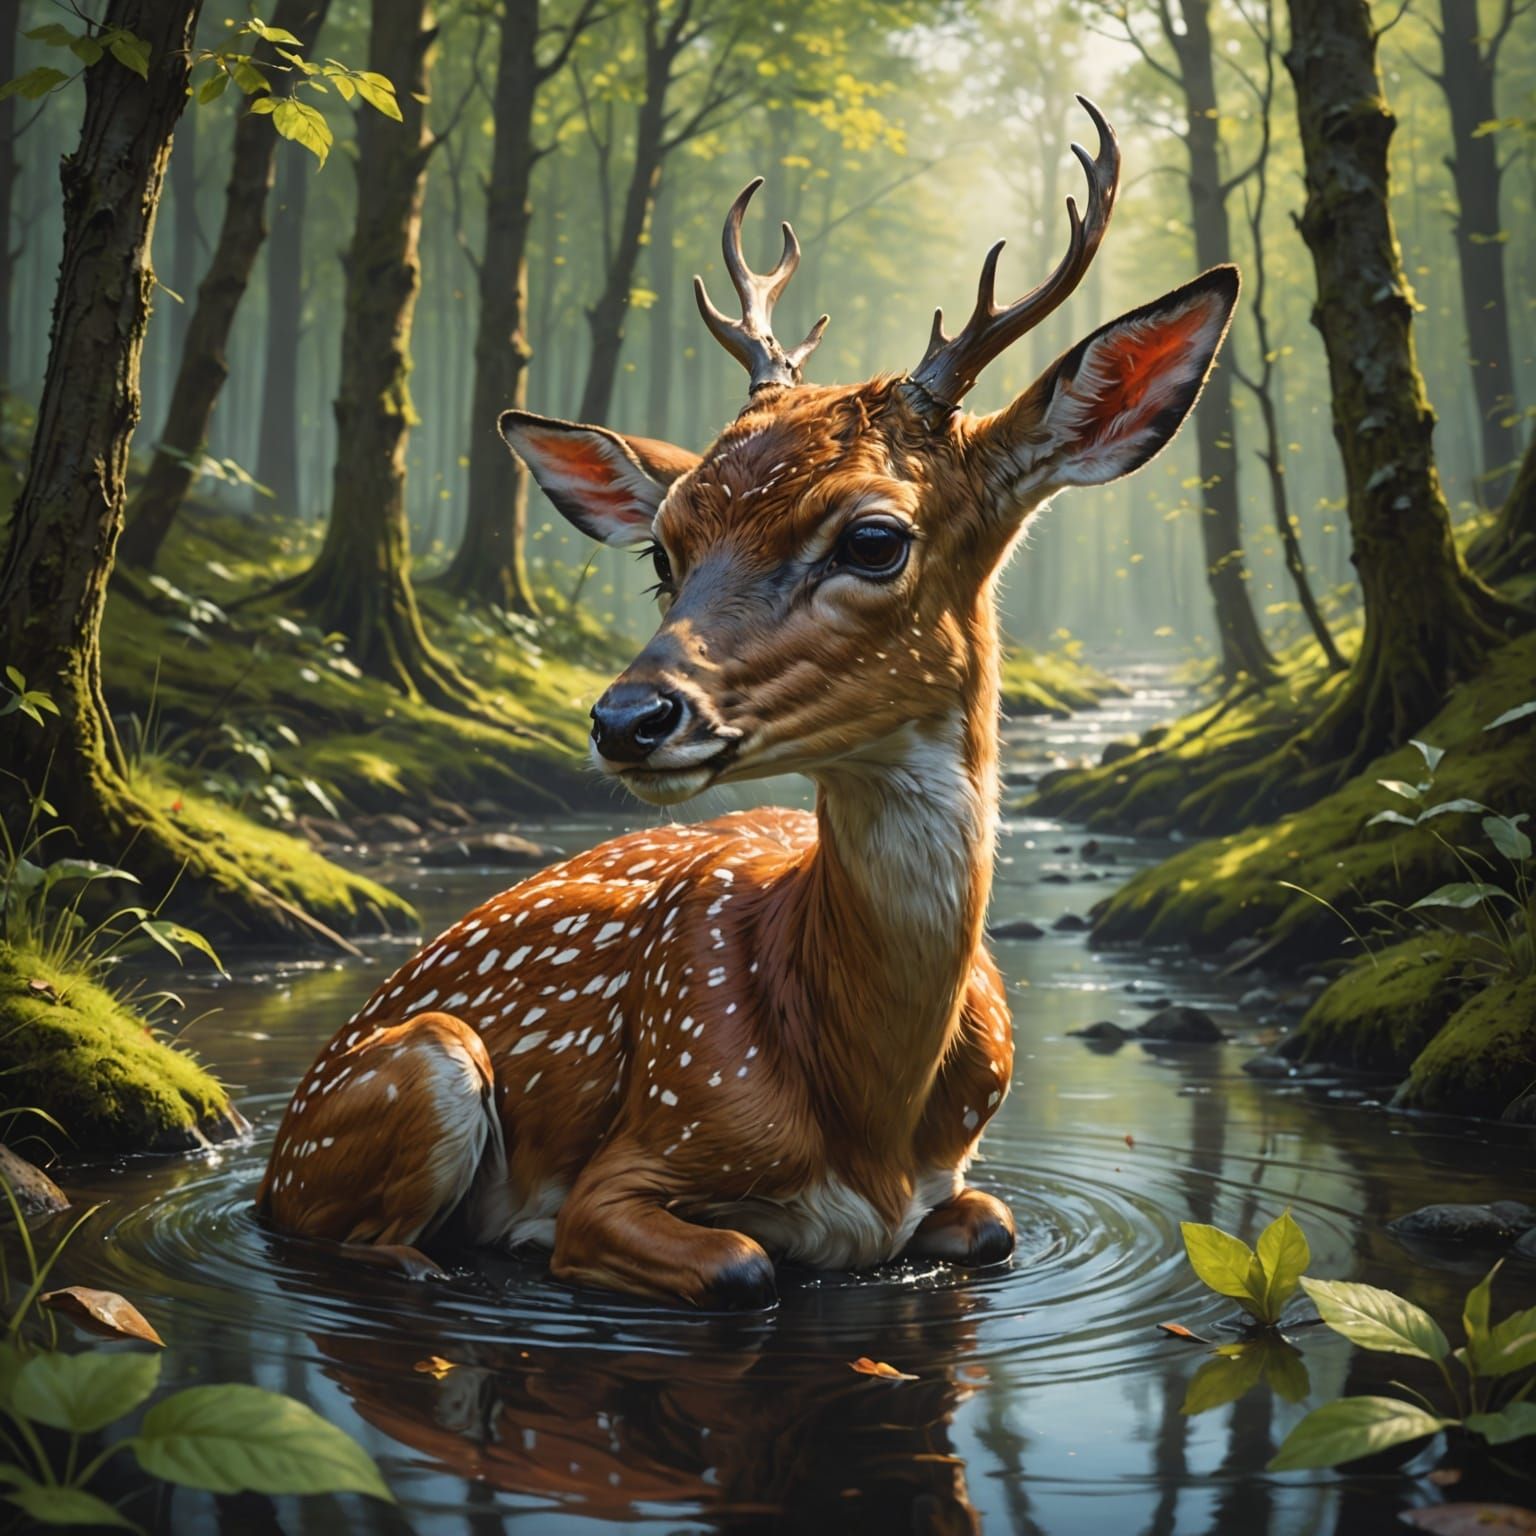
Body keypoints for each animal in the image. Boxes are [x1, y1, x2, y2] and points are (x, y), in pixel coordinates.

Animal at [259, 97, 1239, 1309]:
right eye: (661, 552)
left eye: (874, 538)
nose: (628, 719)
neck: (872, 1120)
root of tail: (273, 1153)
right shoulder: (633, 1164)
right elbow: (741, 1265)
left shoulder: (967, 1187)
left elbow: (995, 1226)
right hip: (416, 1073)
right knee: (368, 1243)